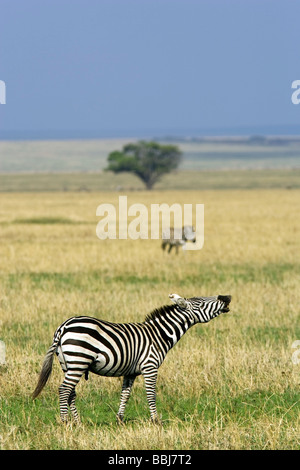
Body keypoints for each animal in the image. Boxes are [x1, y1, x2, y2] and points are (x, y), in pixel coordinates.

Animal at [32, 292, 231, 424]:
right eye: (202, 302)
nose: (226, 296)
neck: (159, 334)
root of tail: (63, 326)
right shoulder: (150, 366)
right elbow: (151, 394)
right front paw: (155, 420)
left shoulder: (131, 372)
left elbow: (125, 394)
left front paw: (120, 419)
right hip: (79, 360)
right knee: (64, 390)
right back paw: (65, 421)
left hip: (69, 364)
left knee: (71, 392)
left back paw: (78, 422)